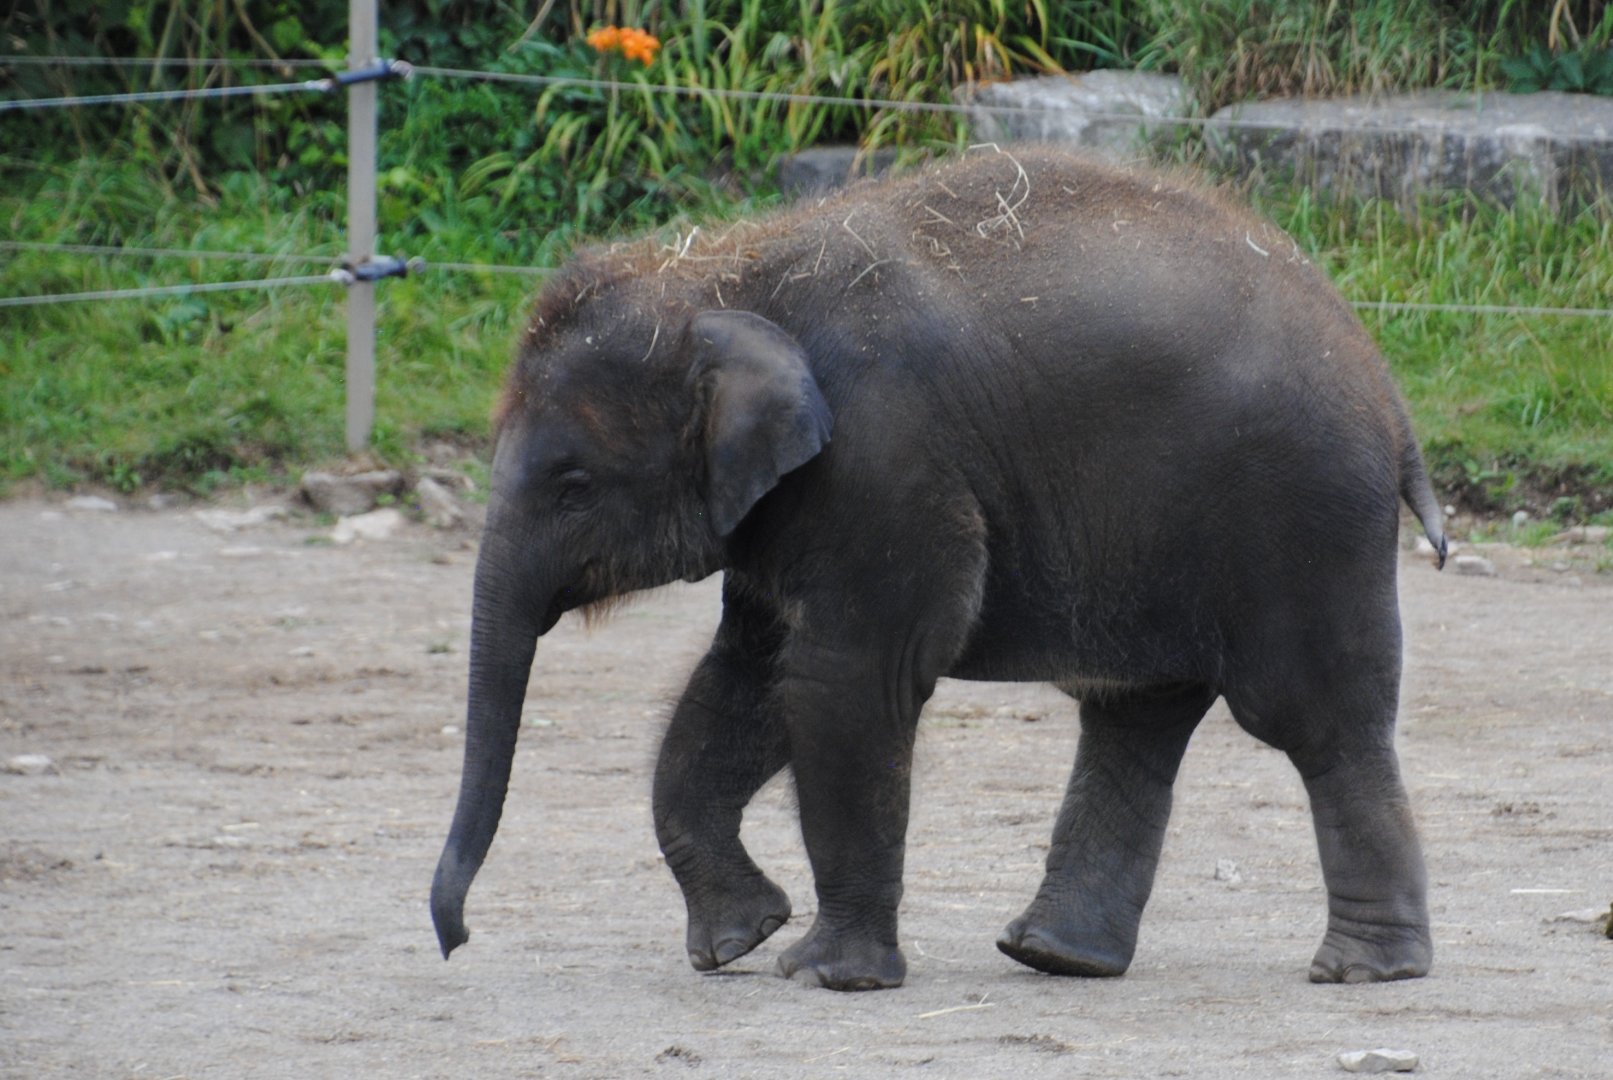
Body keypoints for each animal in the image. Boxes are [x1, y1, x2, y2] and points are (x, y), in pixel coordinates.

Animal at [431, 145, 1448, 991]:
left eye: (571, 485)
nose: (455, 940)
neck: (724, 272)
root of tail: (1386, 386)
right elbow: (745, 681)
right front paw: (738, 941)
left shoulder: (883, 460)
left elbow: (844, 680)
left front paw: (825, 975)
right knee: (1136, 714)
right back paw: (1055, 957)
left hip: (1300, 518)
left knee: (1312, 719)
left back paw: (1363, 970)